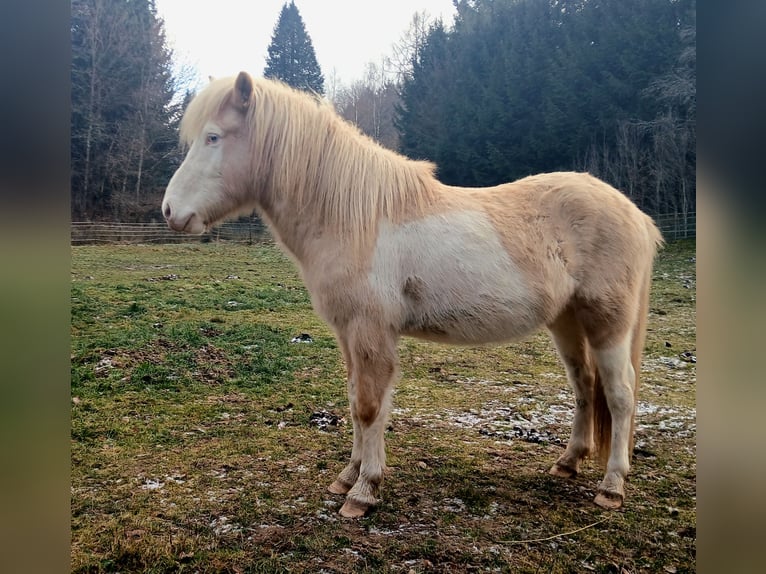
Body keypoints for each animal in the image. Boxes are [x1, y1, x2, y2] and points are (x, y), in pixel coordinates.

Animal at [161, 72, 663, 518]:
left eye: (212, 137)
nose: (170, 211)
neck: (354, 217)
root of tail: (635, 215)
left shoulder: (371, 332)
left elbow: (369, 407)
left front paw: (363, 492)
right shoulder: (349, 334)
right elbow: (355, 401)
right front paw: (347, 476)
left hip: (608, 322)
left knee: (620, 394)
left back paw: (612, 486)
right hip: (566, 321)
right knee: (584, 386)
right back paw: (567, 462)